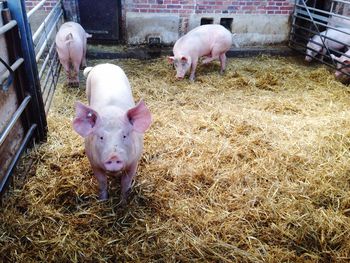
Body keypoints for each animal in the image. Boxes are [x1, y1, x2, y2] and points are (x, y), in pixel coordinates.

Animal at [72, 64, 152, 204]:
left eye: (125, 135)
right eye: (101, 137)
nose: (113, 156)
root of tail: (105, 64)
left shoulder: (134, 162)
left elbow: (126, 183)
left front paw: (123, 203)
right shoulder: (93, 161)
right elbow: (102, 182)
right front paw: (102, 201)